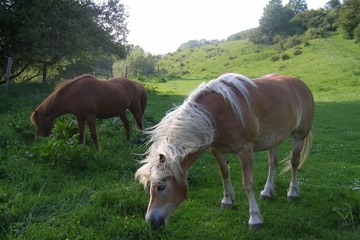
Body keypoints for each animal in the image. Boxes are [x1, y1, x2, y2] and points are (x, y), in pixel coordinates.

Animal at [136, 73, 314, 231]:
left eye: (161, 187)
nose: (151, 221)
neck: (218, 114)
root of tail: (301, 84)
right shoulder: (217, 150)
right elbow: (224, 174)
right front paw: (227, 200)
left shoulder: (245, 151)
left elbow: (248, 184)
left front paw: (254, 219)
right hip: (273, 139)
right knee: (273, 163)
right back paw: (267, 192)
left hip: (298, 136)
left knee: (294, 163)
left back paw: (292, 192)